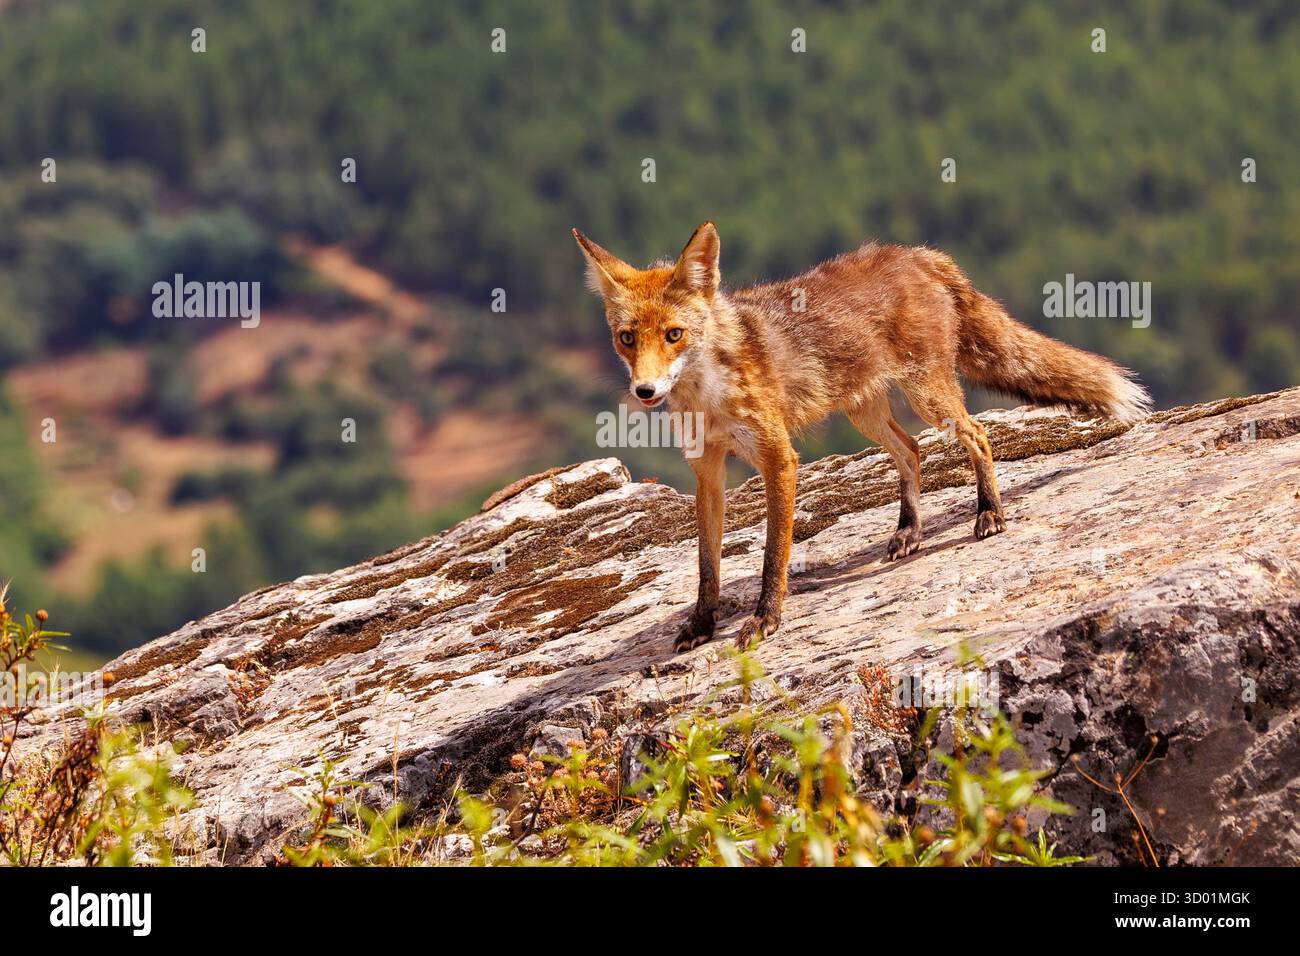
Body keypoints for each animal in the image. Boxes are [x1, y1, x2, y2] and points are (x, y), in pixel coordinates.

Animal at [573, 222, 1150, 653]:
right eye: (627, 339)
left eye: (675, 335)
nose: (645, 391)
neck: (708, 394)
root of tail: (916, 253)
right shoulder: (706, 469)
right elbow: (706, 565)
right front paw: (701, 624)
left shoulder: (778, 458)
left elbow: (772, 556)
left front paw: (766, 620)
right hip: (865, 412)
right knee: (912, 451)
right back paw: (909, 530)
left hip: (927, 395)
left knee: (979, 435)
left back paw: (989, 512)